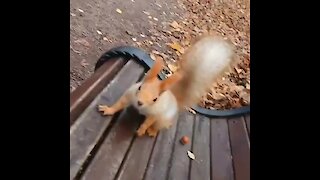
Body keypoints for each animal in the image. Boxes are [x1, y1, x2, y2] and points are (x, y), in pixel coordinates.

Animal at [99, 34, 236, 136]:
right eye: (139, 87)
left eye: (155, 99)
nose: (139, 102)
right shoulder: (130, 95)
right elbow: (119, 103)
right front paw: (108, 109)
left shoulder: (156, 113)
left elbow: (149, 121)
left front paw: (142, 130)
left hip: (164, 119)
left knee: (160, 125)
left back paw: (152, 131)